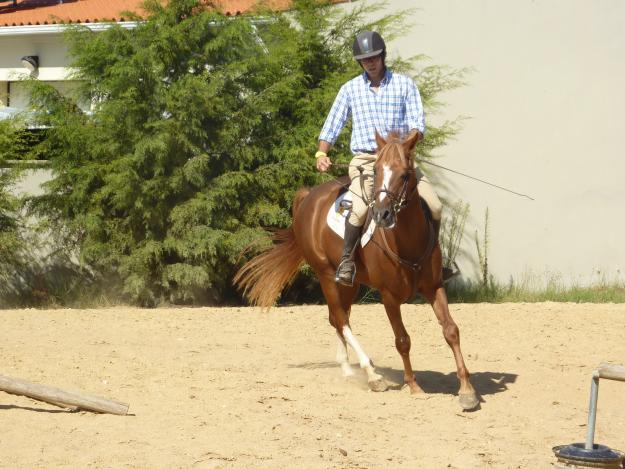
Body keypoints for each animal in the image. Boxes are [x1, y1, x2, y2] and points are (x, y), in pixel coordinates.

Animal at [234, 131, 478, 410]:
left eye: (405, 174)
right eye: (378, 172)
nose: (382, 215)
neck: (406, 242)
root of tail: (309, 197)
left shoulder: (434, 286)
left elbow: (451, 331)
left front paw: (467, 391)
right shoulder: (388, 297)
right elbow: (402, 340)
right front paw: (414, 386)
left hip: (350, 283)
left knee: (339, 318)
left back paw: (348, 369)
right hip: (327, 276)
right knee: (341, 320)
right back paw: (371, 375)